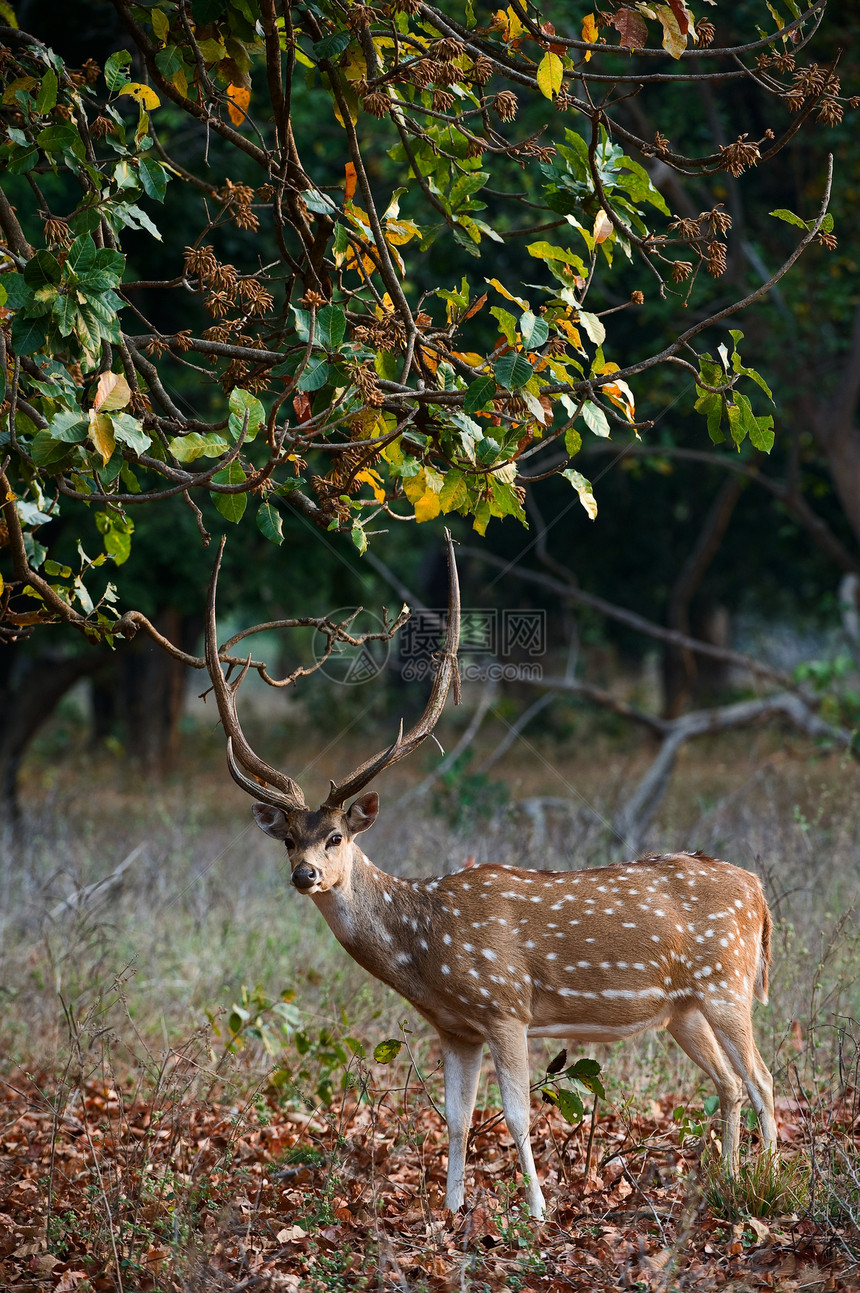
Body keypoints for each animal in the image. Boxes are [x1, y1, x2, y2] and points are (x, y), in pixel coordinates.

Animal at [204, 530, 775, 1215]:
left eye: (337, 836)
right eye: (289, 840)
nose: (306, 875)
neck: (426, 949)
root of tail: (759, 893)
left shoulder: (507, 1008)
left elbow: (518, 1116)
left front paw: (536, 1210)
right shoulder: (456, 1029)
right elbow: (456, 1118)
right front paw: (451, 1212)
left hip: (727, 983)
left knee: (764, 1078)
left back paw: (770, 1181)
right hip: (684, 1007)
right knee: (731, 1083)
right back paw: (729, 1180)